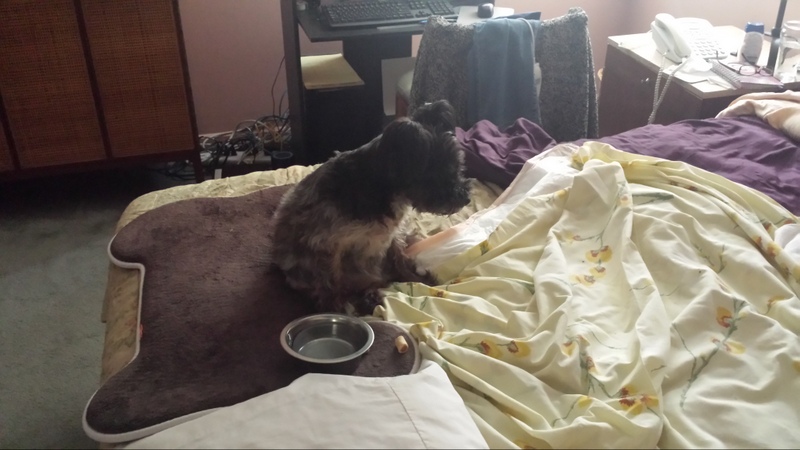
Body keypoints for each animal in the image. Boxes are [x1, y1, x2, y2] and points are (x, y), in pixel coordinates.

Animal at [270, 100, 471, 315]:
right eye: (440, 173)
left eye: (458, 165)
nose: (466, 198)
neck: (380, 186)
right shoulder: (324, 244)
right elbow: (330, 282)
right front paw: (337, 309)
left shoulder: (393, 234)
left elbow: (399, 258)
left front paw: (417, 280)